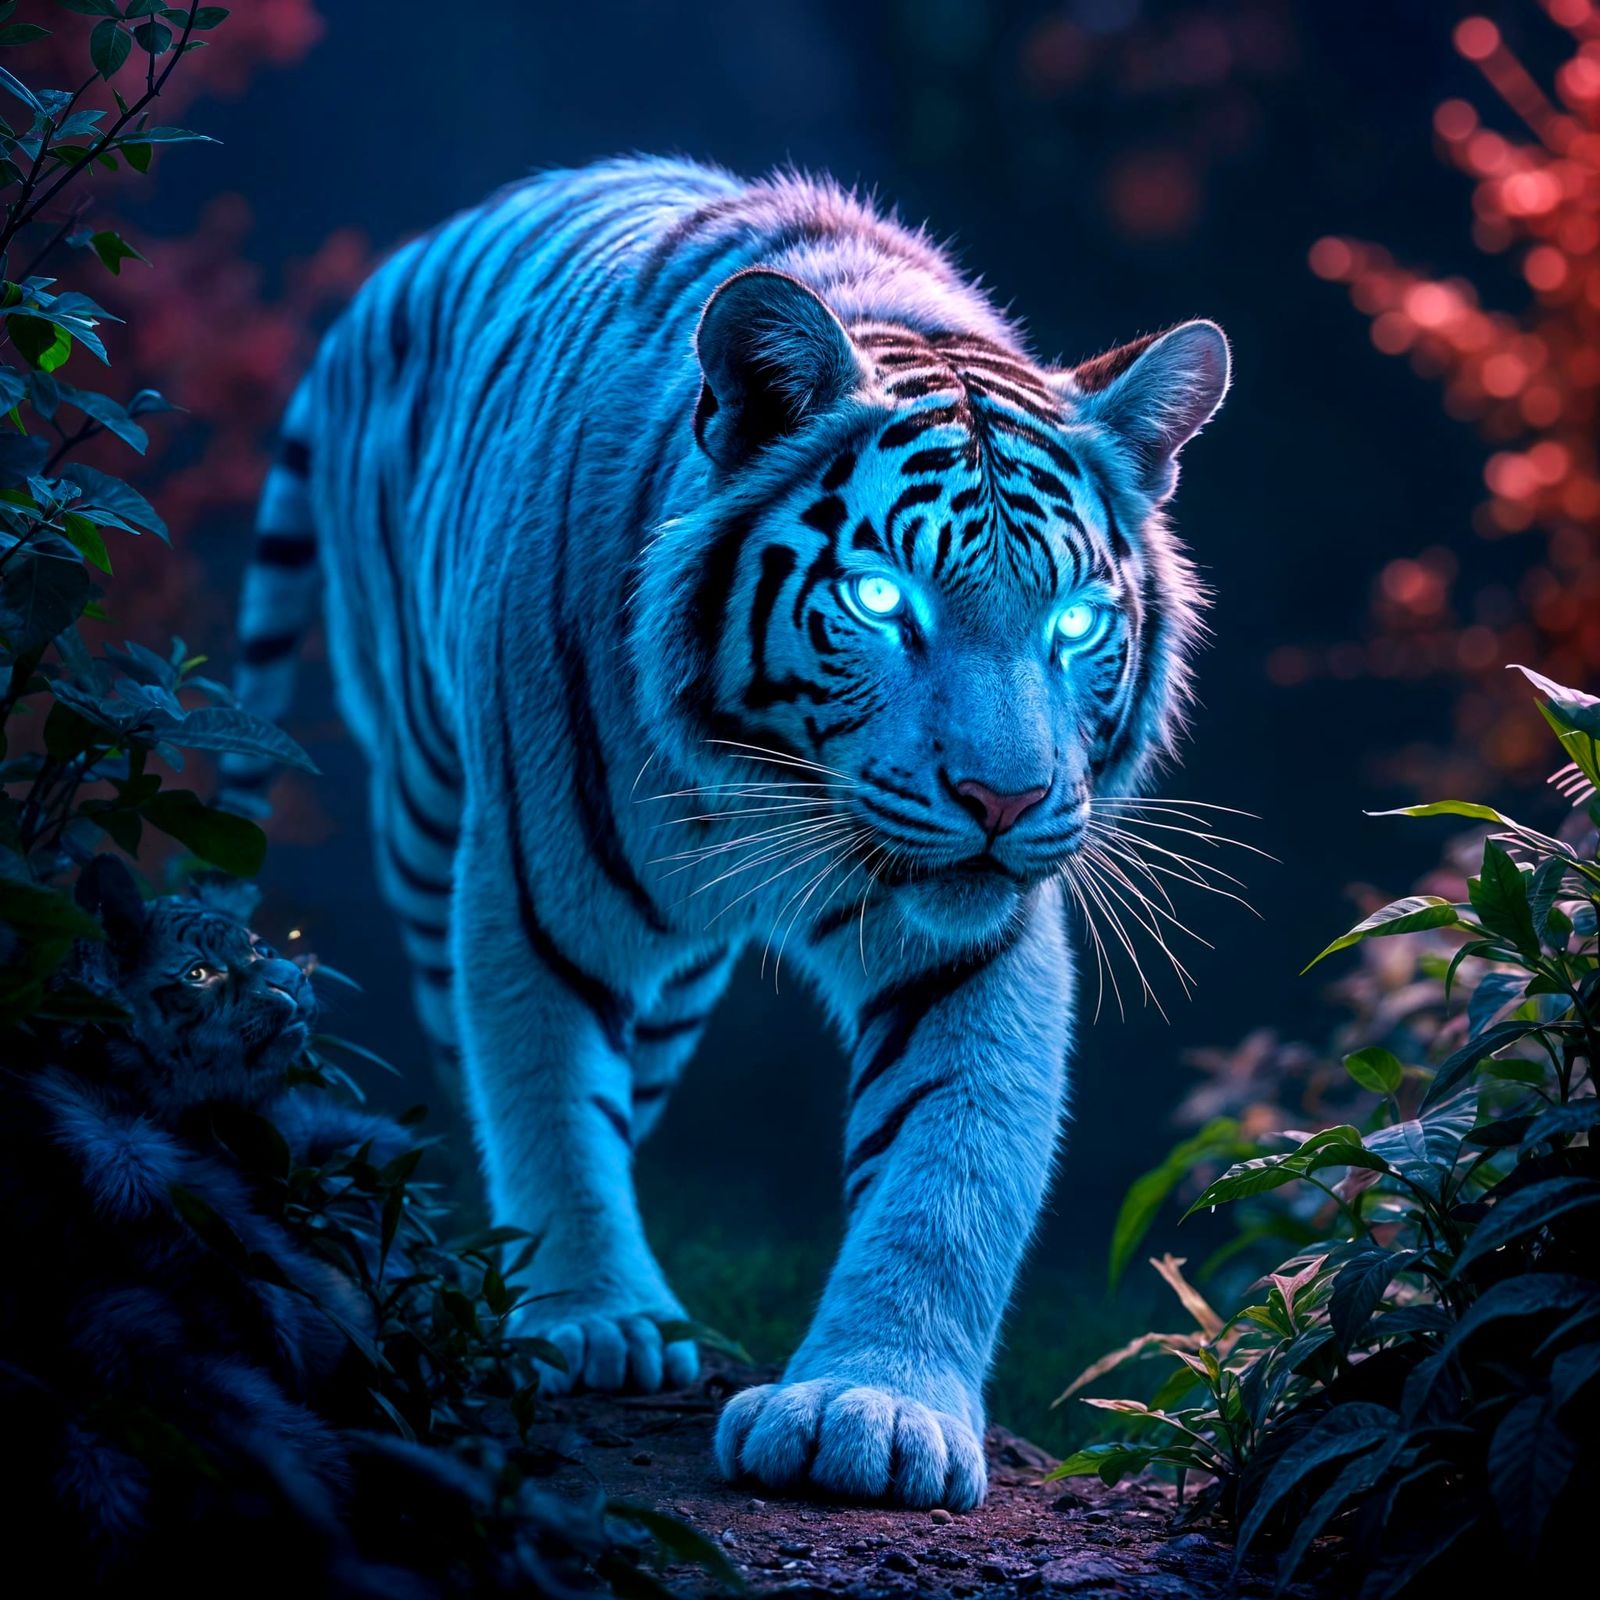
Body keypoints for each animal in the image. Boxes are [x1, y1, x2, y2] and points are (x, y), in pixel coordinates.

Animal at [222, 157, 1228, 1511]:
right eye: (880, 600)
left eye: (1074, 622)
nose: (1003, 802)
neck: (770, 787)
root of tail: (407, 259)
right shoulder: (532, 889)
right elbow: (545, 1093)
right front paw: (591, 1315)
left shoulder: (973, 946)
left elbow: (950, 1164)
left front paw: (873, 1405)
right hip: (425, 802)